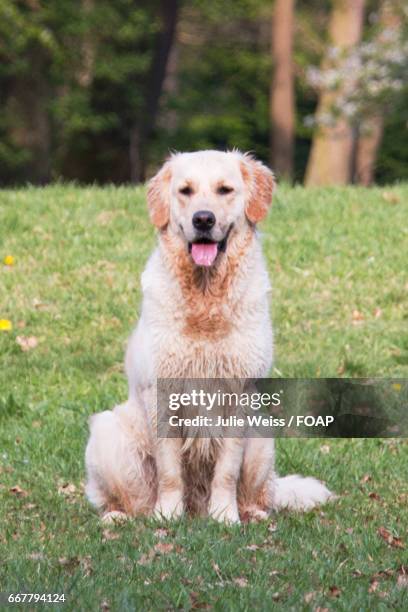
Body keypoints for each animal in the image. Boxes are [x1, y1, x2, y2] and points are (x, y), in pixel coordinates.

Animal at [85, 151, 332, 524]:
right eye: (185, 190)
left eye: (224, 190)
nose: (203, 219)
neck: (205, 296)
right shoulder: (162, 393)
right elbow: (170, 471)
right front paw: (167, 515)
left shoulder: (240, 393)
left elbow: (227, 469)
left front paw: (225, 516)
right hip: (107, 432)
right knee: (131, 500)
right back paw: (121, 517)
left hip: (262, 434)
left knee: (262, 492)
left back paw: (251, 513)